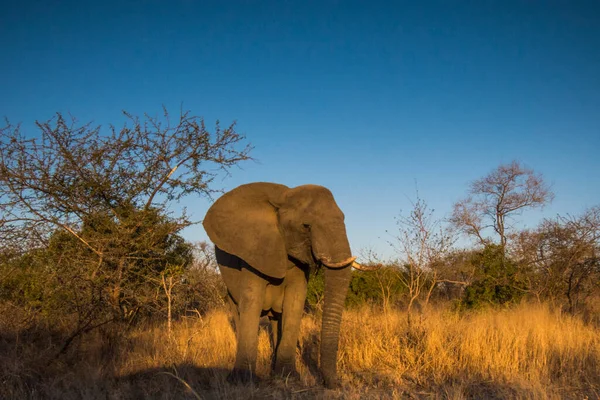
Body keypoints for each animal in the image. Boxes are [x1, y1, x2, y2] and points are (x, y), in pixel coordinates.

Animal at [205, 182, 376, 388]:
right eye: (306, 226)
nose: (336, 384)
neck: (285, 196)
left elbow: (295, 303)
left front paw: (288, 377)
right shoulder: (254, 251)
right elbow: (252, 303)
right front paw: (243, 382)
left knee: (276, 317)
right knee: (238, 312)